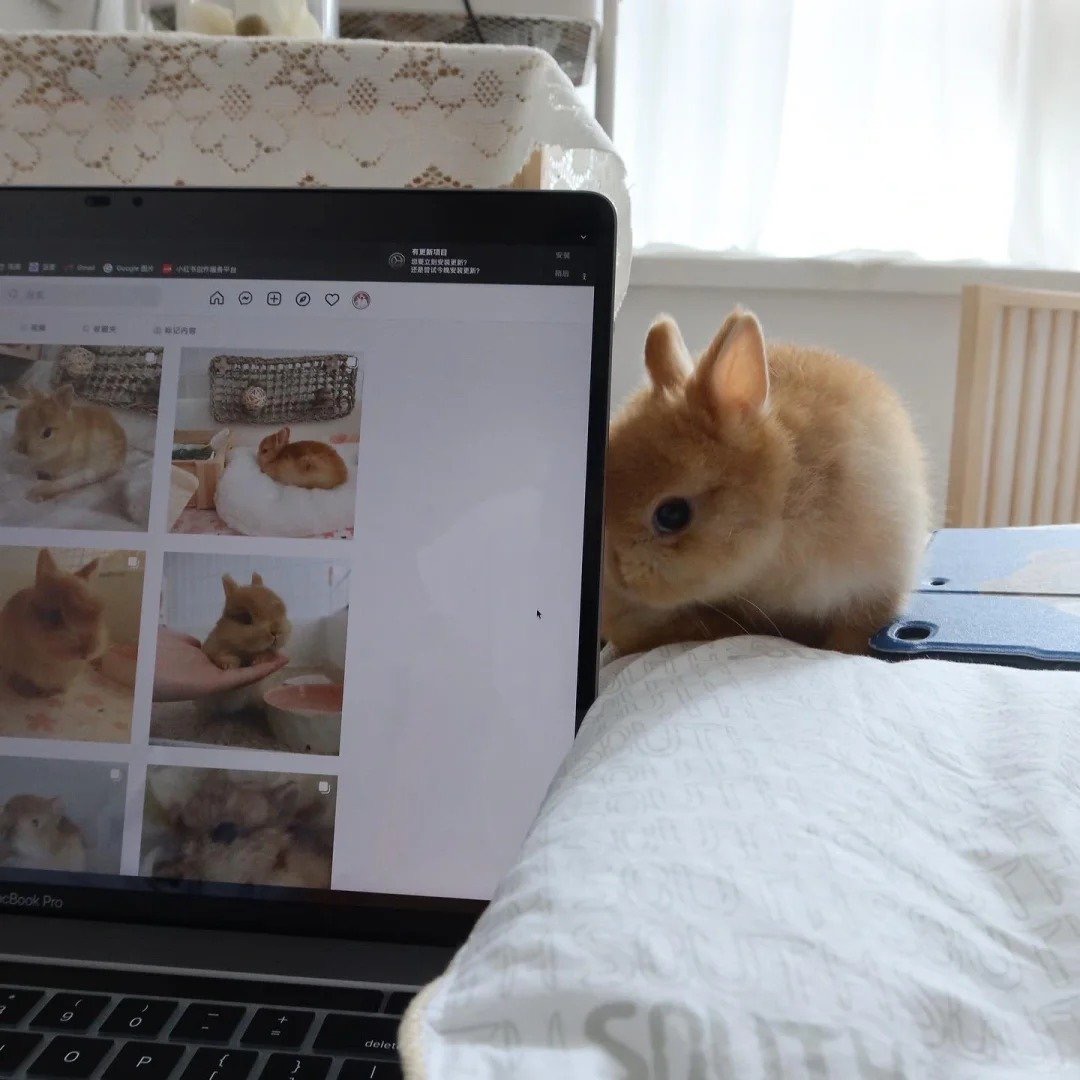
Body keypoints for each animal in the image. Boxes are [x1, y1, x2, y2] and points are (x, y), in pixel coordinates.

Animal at [0, 548, 107, 696]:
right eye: (54, 616)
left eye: (98, 611)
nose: (88, 650)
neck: (56, 661)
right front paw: (25, 690)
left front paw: (57, 692)